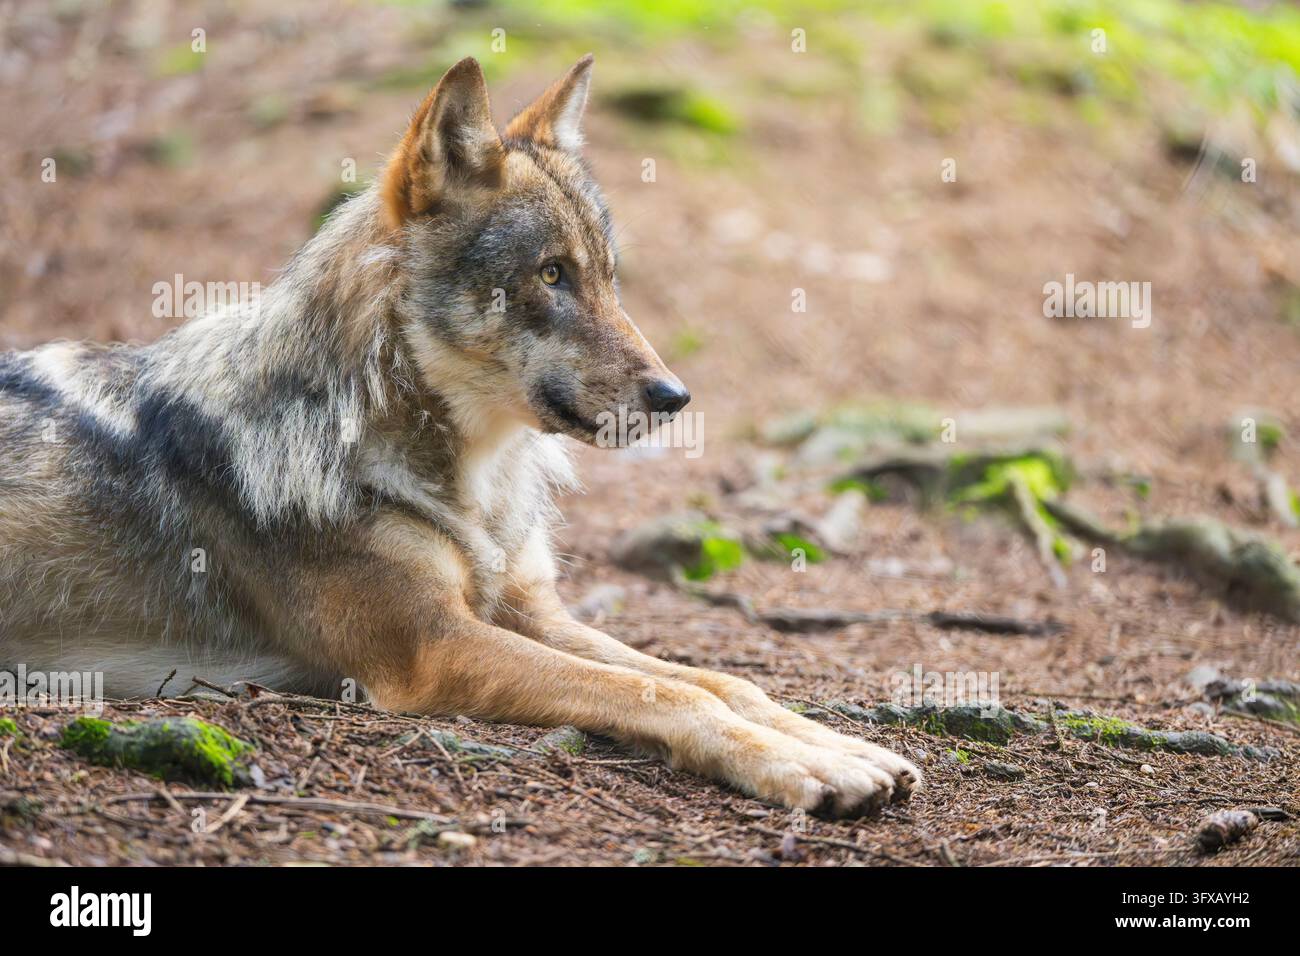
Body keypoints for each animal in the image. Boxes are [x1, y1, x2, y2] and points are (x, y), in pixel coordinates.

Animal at [0, 56, 919, 816]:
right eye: (551, 275)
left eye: (608, 277)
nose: (674, 396)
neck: (472, 480)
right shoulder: (434, 647)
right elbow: (668, 695)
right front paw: (808, 767)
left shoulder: (526, 608)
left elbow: (721, 680)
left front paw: (841, 747)